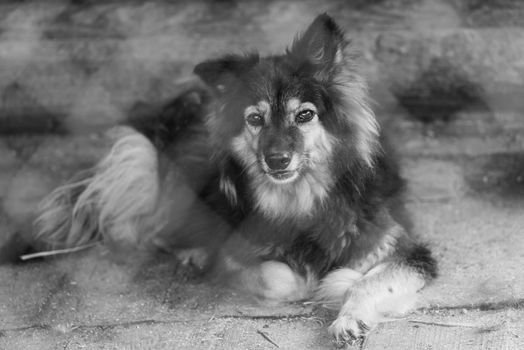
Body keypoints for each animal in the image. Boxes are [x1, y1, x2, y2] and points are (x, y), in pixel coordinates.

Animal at [29, 14, 438, 348]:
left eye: (305, 115)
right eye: (255, 119)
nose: (277, 160)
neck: (301, 200)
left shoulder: (405, 249)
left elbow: (369, 280)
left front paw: (348, 317)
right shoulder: (235, 250)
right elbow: (278, 277)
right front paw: (314, 284)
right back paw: (192, 252)